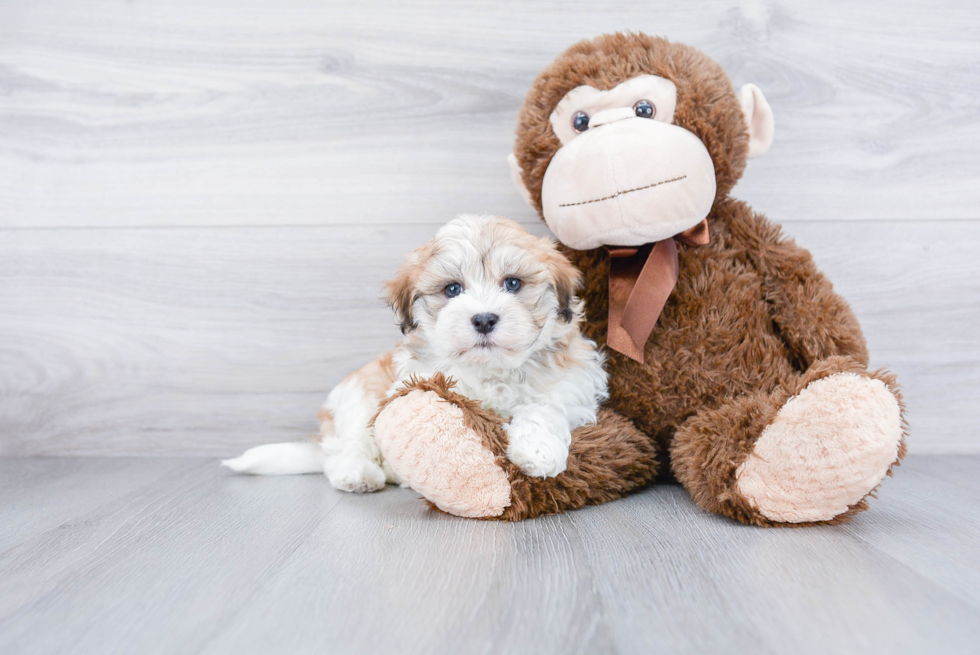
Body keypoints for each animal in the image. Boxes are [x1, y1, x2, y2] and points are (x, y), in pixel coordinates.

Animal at [222, 214, 604, 492]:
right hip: (357, 401)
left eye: (512, 283)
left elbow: (544, 406)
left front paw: (537, 451)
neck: (489, 368)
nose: (483, 319)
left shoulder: (572, 389)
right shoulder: (410, 381)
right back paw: (359, 474)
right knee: (346, 450)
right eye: (452, 289)